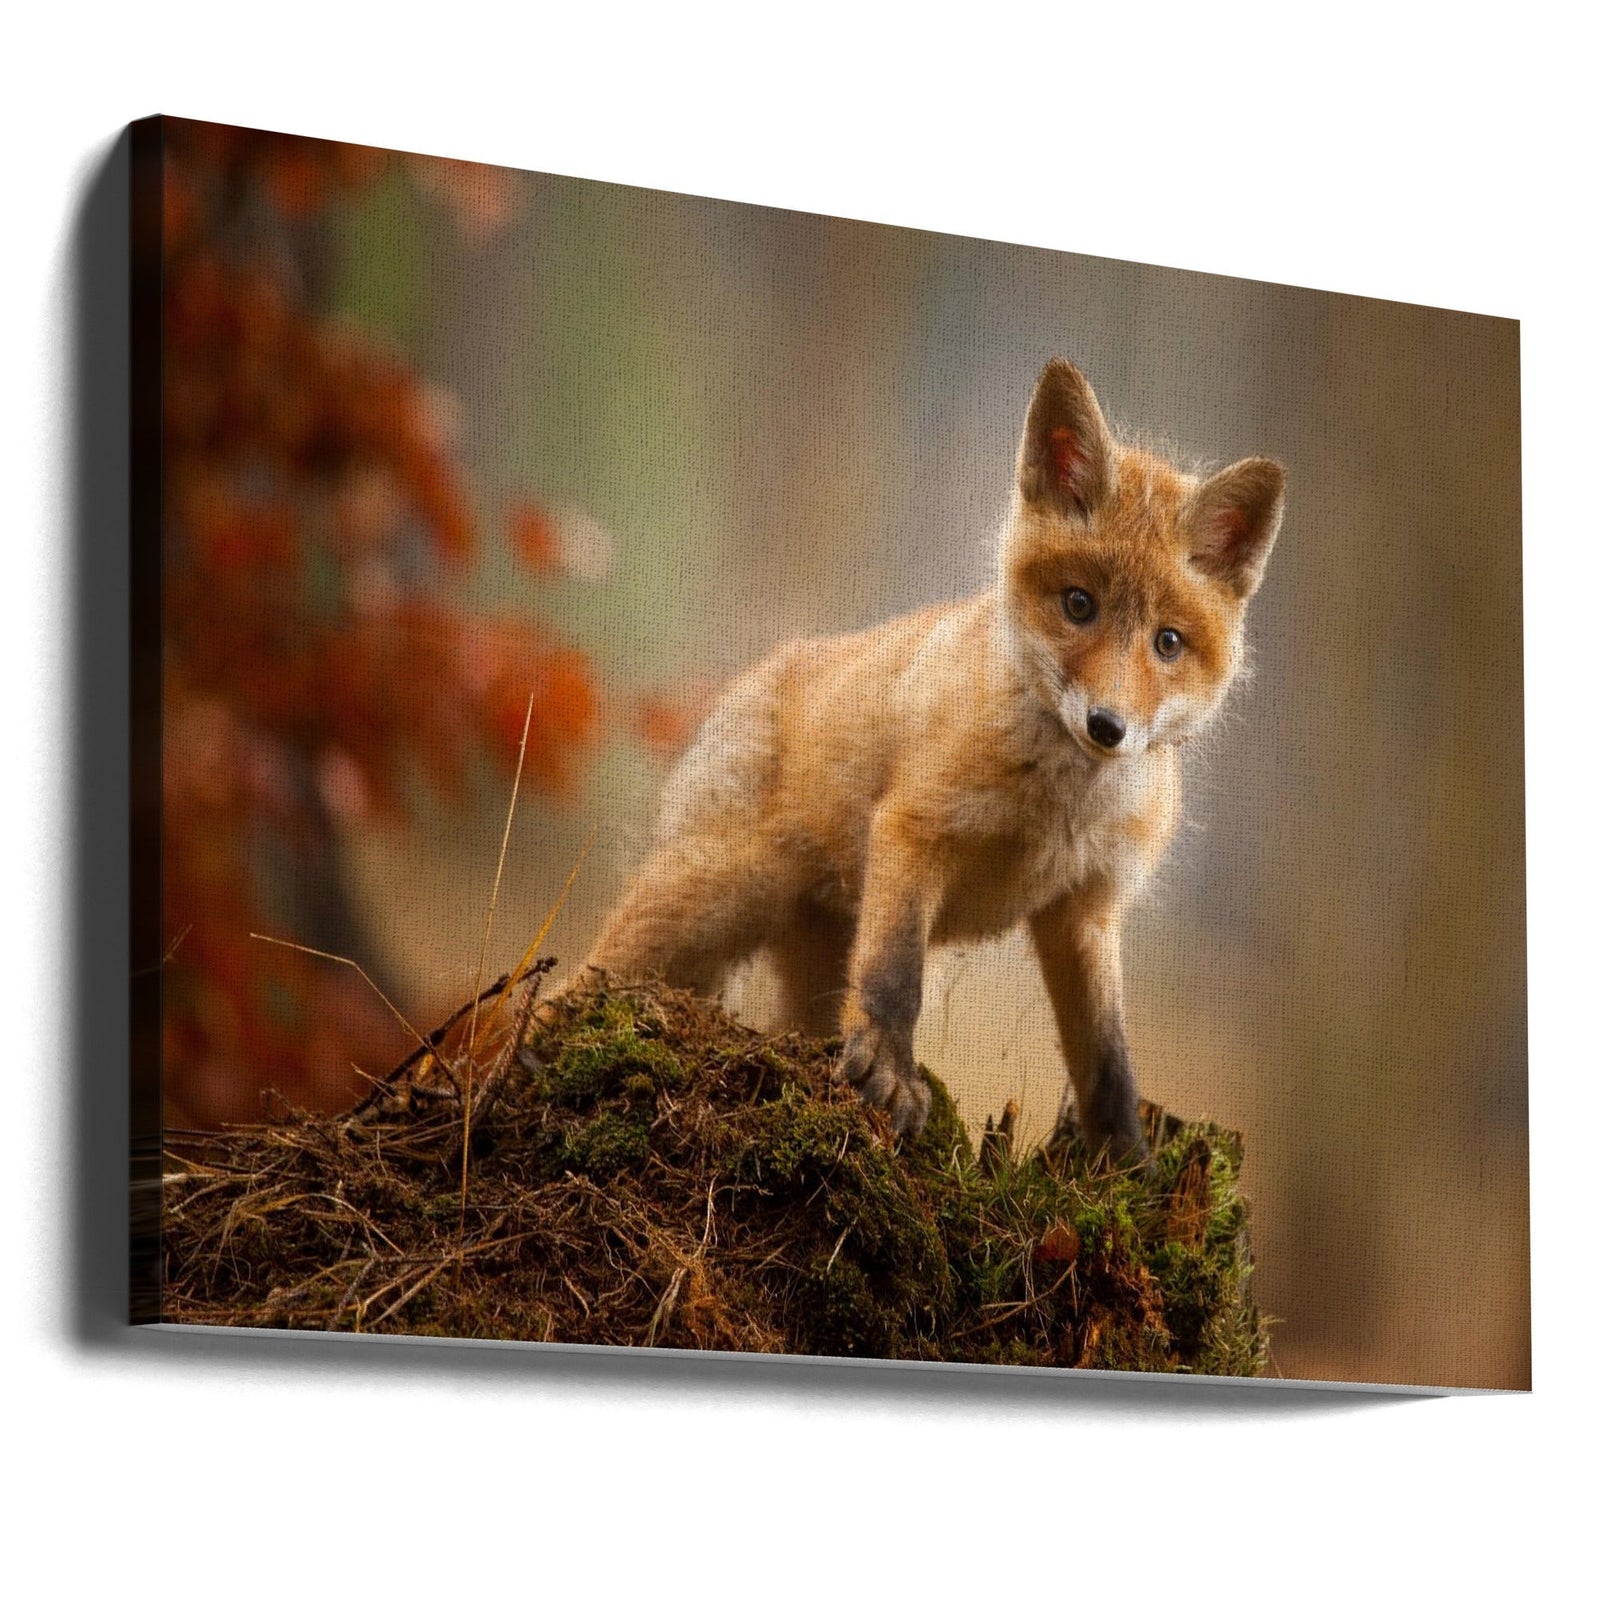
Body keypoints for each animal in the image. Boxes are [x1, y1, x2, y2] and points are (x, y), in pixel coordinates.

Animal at [583, 358, 1285, 1163]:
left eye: (1168, 642)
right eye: (1079, 604)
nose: (1107, 727)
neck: (1058, 809)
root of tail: (757, 675)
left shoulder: (1085, 905)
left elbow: (1107, 1057)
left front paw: (1124, 1160)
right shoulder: (914, 830)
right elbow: (896, 977)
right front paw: (890, 1077)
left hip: (807, 963)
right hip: (705, 901)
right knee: (577, 983)